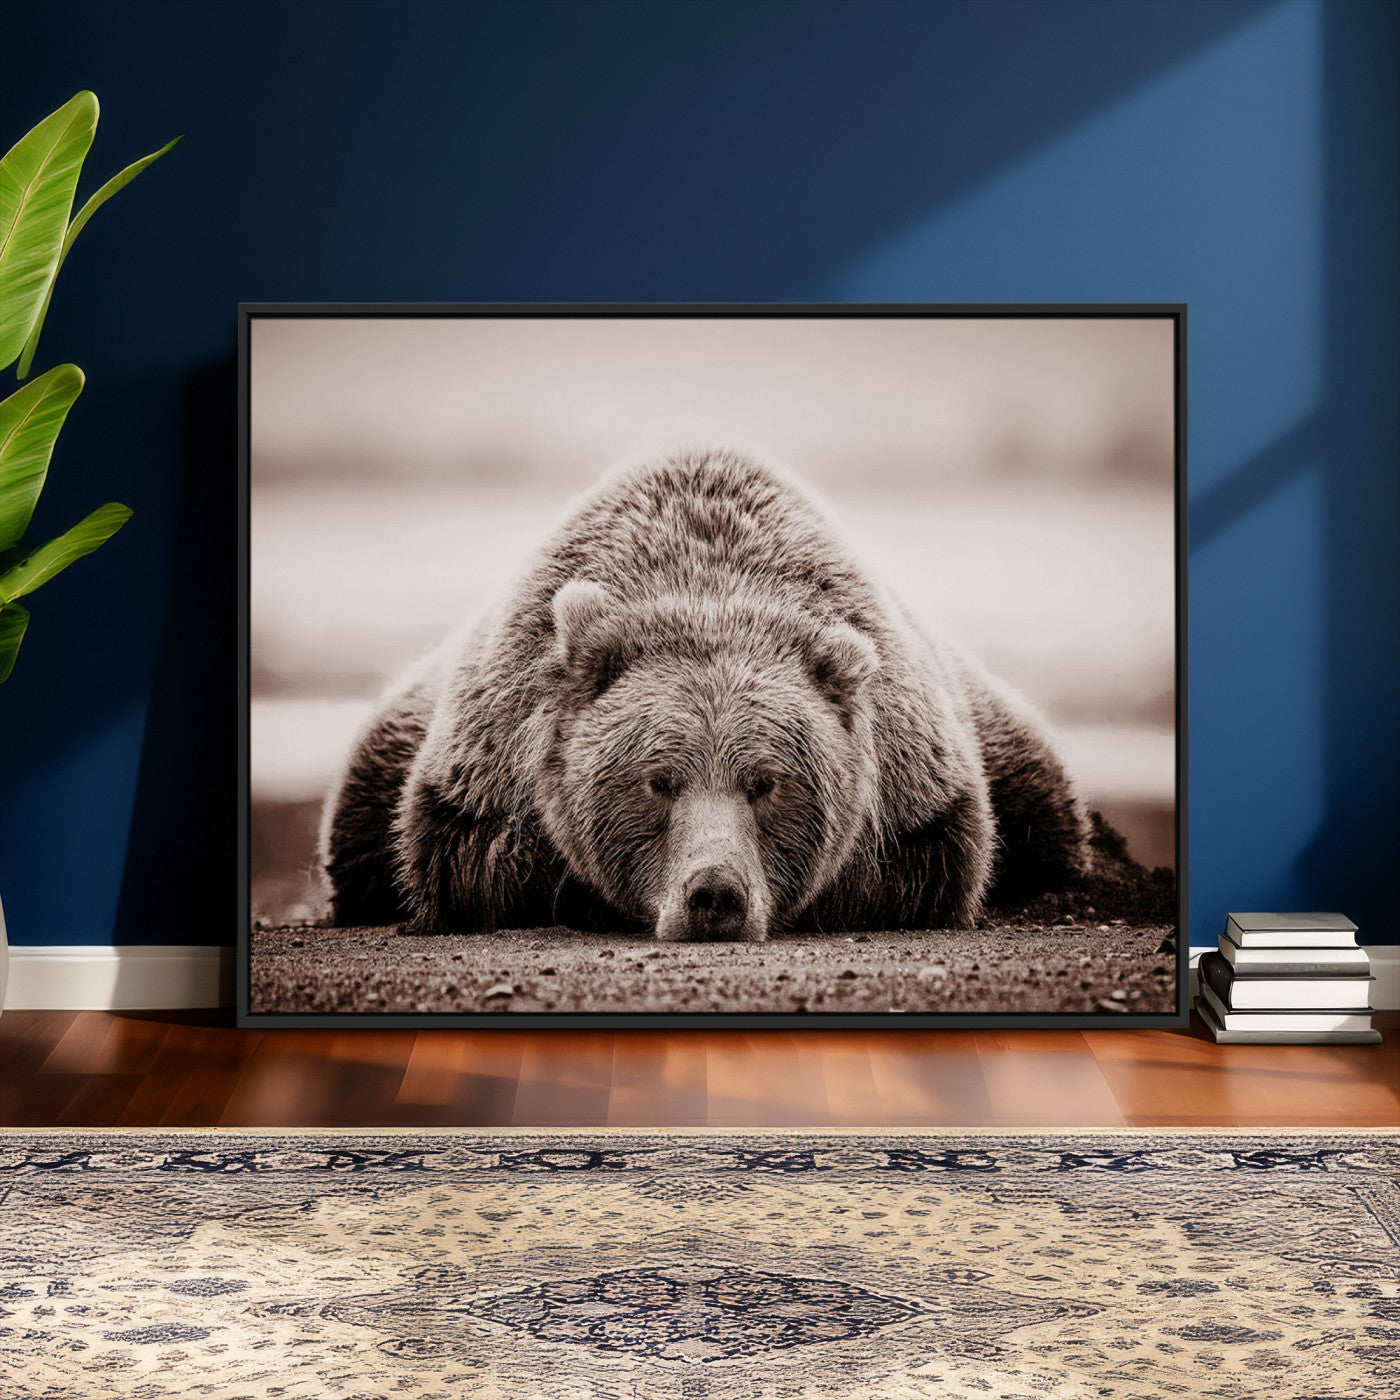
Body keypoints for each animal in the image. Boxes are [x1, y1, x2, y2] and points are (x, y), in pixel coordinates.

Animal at [320, 448, 1087, 941]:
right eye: (658, 780)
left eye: (767, 781)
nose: (714, 893)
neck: (707, 584)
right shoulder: (487, 761)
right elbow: (471, 860)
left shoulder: (915, 780)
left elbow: (929, 862)